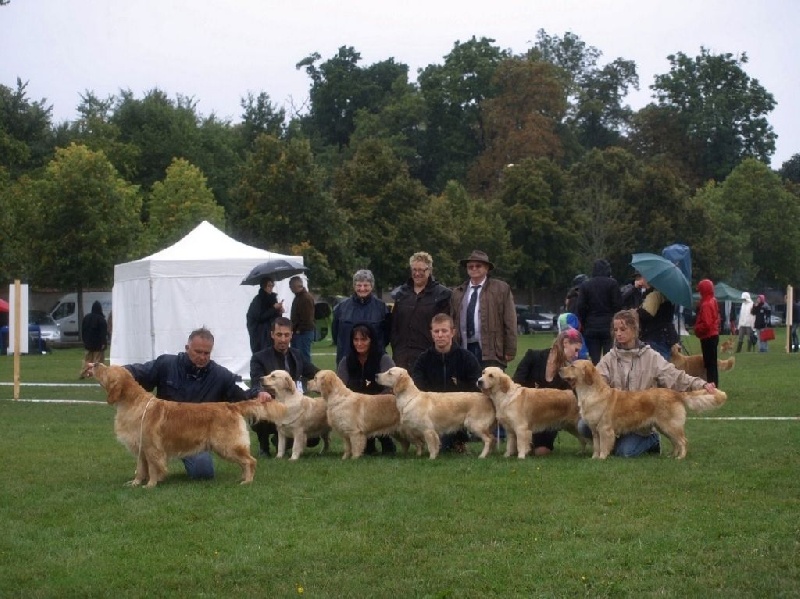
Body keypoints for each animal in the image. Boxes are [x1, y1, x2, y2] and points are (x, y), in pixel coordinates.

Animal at [92, 364, 284, 490]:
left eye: (106, 370)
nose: (94, 364)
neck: (132, 403)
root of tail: (231, 405)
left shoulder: (152, 448)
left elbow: (153, 468)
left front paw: (151, 484)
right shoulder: (140, 448)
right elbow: (140, 469)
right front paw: (136, 483)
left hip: (227, 445)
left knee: (250, 460)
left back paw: (247, 481)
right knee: (244, 462)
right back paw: (242, 477)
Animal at [560, 358, 728, 462]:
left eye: (572, 366)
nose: (560, 369)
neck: (590, 392)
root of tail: (676, 393)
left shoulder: (605, 429)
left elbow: (604, 446)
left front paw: (602, 458)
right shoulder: (594, 430)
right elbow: (596, 445)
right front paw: (594, 458)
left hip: (670, 425)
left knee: (683, 441)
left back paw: (681, 457)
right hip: (664, 427)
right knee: (675, 442)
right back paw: (672, 456)